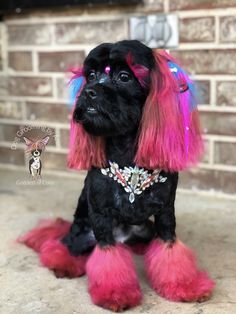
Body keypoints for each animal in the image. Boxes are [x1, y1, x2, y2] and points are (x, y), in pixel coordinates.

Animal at [19, 41, 215, 312]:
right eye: (91, 75)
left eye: (124, 77)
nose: (89, 91)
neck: (127, 154)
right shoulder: (101, 218)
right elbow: (108, 257)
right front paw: (116, 294)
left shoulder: (165, 214)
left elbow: (169, 248)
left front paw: (187, 286)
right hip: (81, 234)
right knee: (64, 246)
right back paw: (64, 264)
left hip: (145, 228)